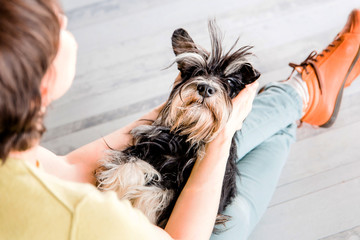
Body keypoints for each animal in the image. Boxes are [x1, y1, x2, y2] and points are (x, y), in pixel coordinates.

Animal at [95, 21, 258, 230]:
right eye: (197, 71)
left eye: (230, 81)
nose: (205, 88)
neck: (188, 137)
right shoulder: (148, 144)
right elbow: (129, 162)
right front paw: (114, 189)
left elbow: (162, 194)